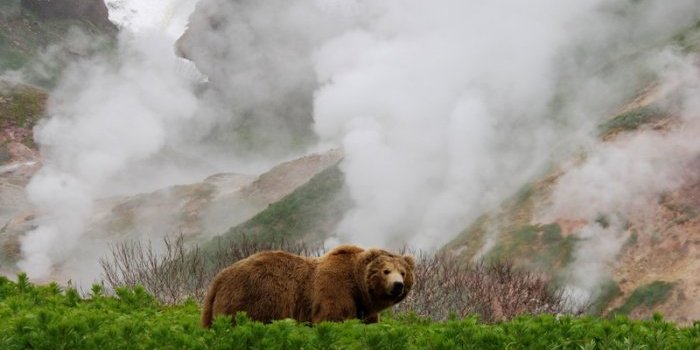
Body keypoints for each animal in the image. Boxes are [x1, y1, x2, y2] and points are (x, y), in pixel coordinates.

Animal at [200, 245, 412, 326]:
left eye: (403, 272)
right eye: (386, 271)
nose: (398, 285)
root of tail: (218, 279)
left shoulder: (363, 309)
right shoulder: (335, 290)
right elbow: (331, 319)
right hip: (246, 302)